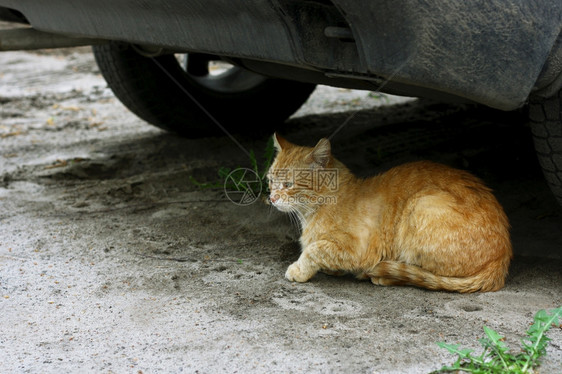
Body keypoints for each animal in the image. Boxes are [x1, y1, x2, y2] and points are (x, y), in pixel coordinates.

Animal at [268, 133, 512, 294]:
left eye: (288, 184)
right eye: (270, 180)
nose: (272, 197)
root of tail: (502, 260)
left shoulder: (356, 249)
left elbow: (314, 250)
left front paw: (299, 269)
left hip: (422, 204)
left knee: (428, 276)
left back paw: (382, 275)